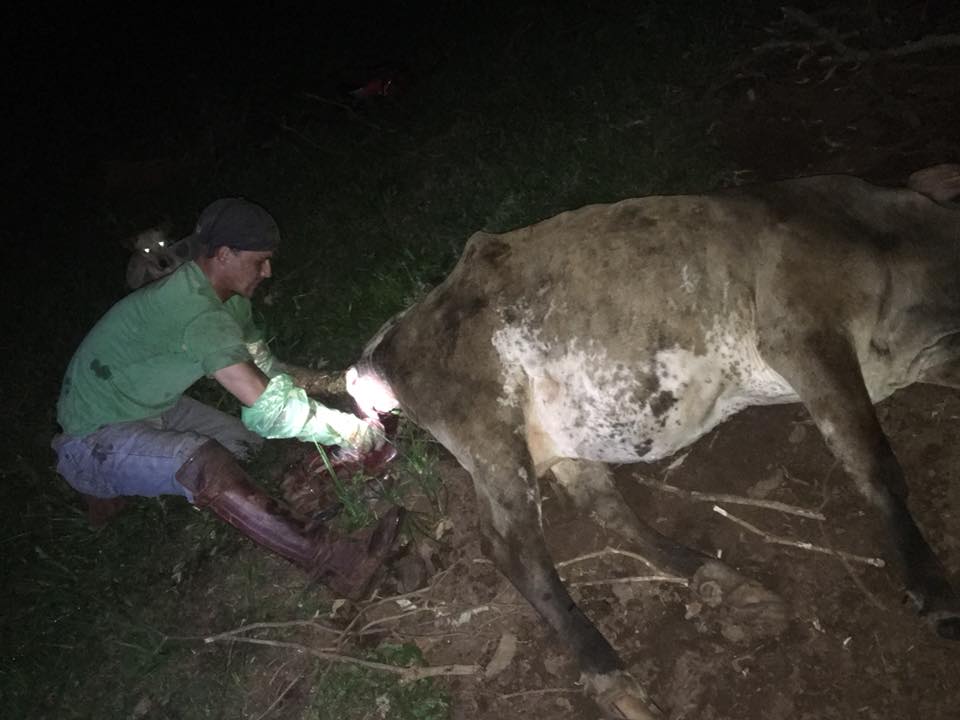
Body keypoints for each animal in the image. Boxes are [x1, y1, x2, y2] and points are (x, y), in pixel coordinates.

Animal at [344, 166, 960, 716]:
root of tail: (393, 337)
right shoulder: (801, 331)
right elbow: (875, 462)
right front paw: (933, 589)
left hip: (559, 437)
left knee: (607, 507)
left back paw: (716, 577)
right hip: (488, 427)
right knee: (511, 546)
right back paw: (612, 677)